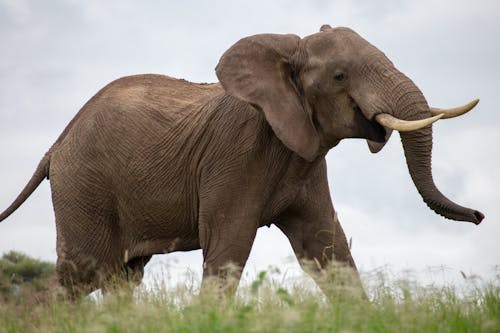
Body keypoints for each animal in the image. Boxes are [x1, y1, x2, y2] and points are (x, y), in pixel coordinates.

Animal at [0, 25, 484, 296]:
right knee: (81, 276)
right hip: (85, 187)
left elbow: (329, 251)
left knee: (123, 277)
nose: (480, 216)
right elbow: (228, 247)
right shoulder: (236, 154)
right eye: (339, 76)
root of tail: (54, 146)